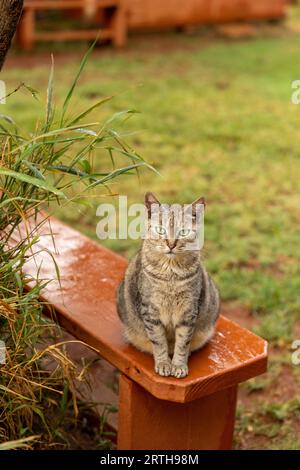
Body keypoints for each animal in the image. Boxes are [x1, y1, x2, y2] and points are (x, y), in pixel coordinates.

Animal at [116, 192, 219, 378]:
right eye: (160, 230)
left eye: (184, 232)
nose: (171, 244)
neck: (171, 274)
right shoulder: (150, 311)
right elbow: (159, 342)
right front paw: (164, 363)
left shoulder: (188, 311)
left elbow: (182, 343)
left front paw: (178, 365)